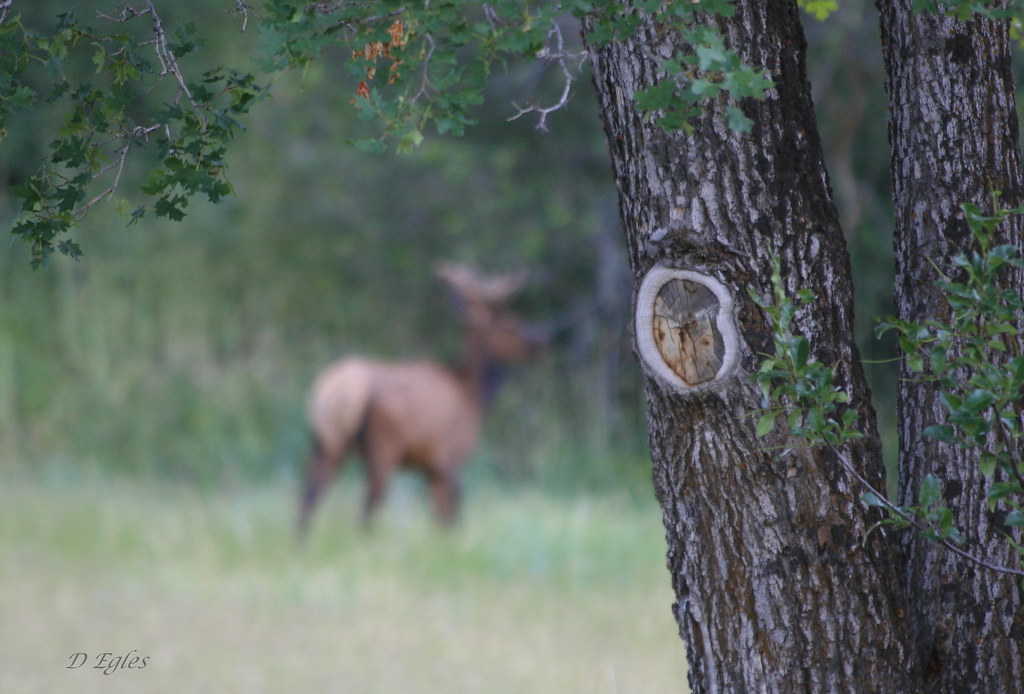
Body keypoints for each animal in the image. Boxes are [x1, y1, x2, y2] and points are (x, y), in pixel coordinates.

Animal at [297, 263, 546, 536]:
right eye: (510, 324)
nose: (543, 339)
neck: (474, 397)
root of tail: (337, 389)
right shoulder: (448, 460)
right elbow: (453, 516)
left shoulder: (430, 467)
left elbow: (441, 519)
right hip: (383, 446)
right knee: (368, 506)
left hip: (325, 442)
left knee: (308, 497)